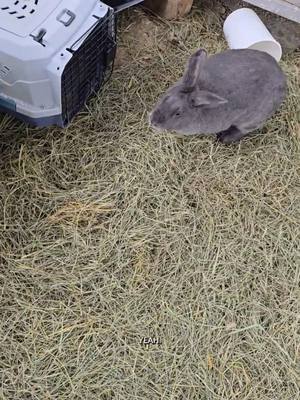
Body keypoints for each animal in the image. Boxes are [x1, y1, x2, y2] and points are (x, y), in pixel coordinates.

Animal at [150, 48, 286, 144]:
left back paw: (224, 138)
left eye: (178, 113)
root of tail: (282, 77)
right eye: (166, 97)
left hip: (252, 120)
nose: (153, 122)